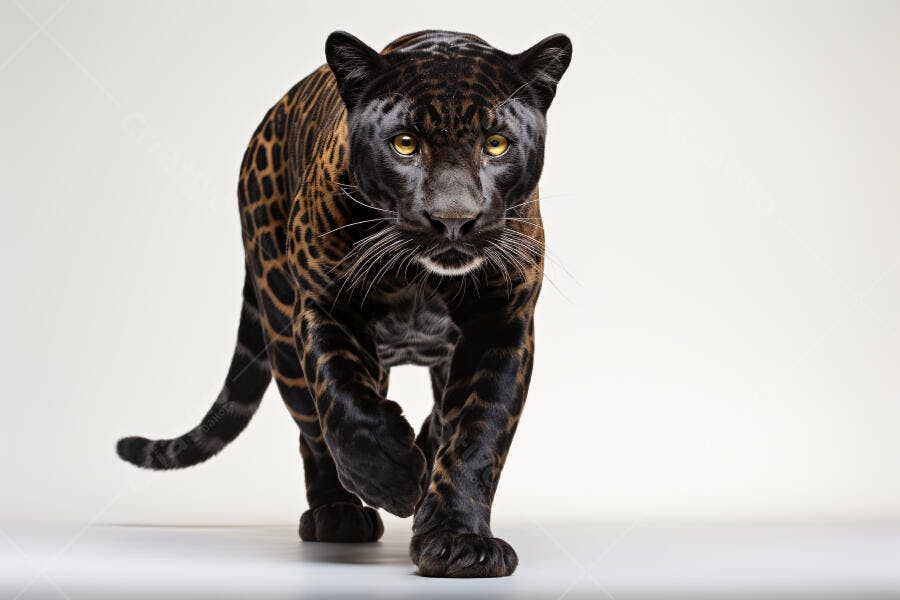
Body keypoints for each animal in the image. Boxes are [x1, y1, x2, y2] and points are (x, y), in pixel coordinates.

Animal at [117, 29, 572, 578]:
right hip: (280, 324)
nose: (453, 220)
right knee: (313, 432)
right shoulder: (325, 305)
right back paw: (339, 513)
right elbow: (344, 405)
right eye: (405, 144)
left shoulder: (501, 324)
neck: (421, 279)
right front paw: (394, 477)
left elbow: (475, 438)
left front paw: (460, 542)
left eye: (495, 144)